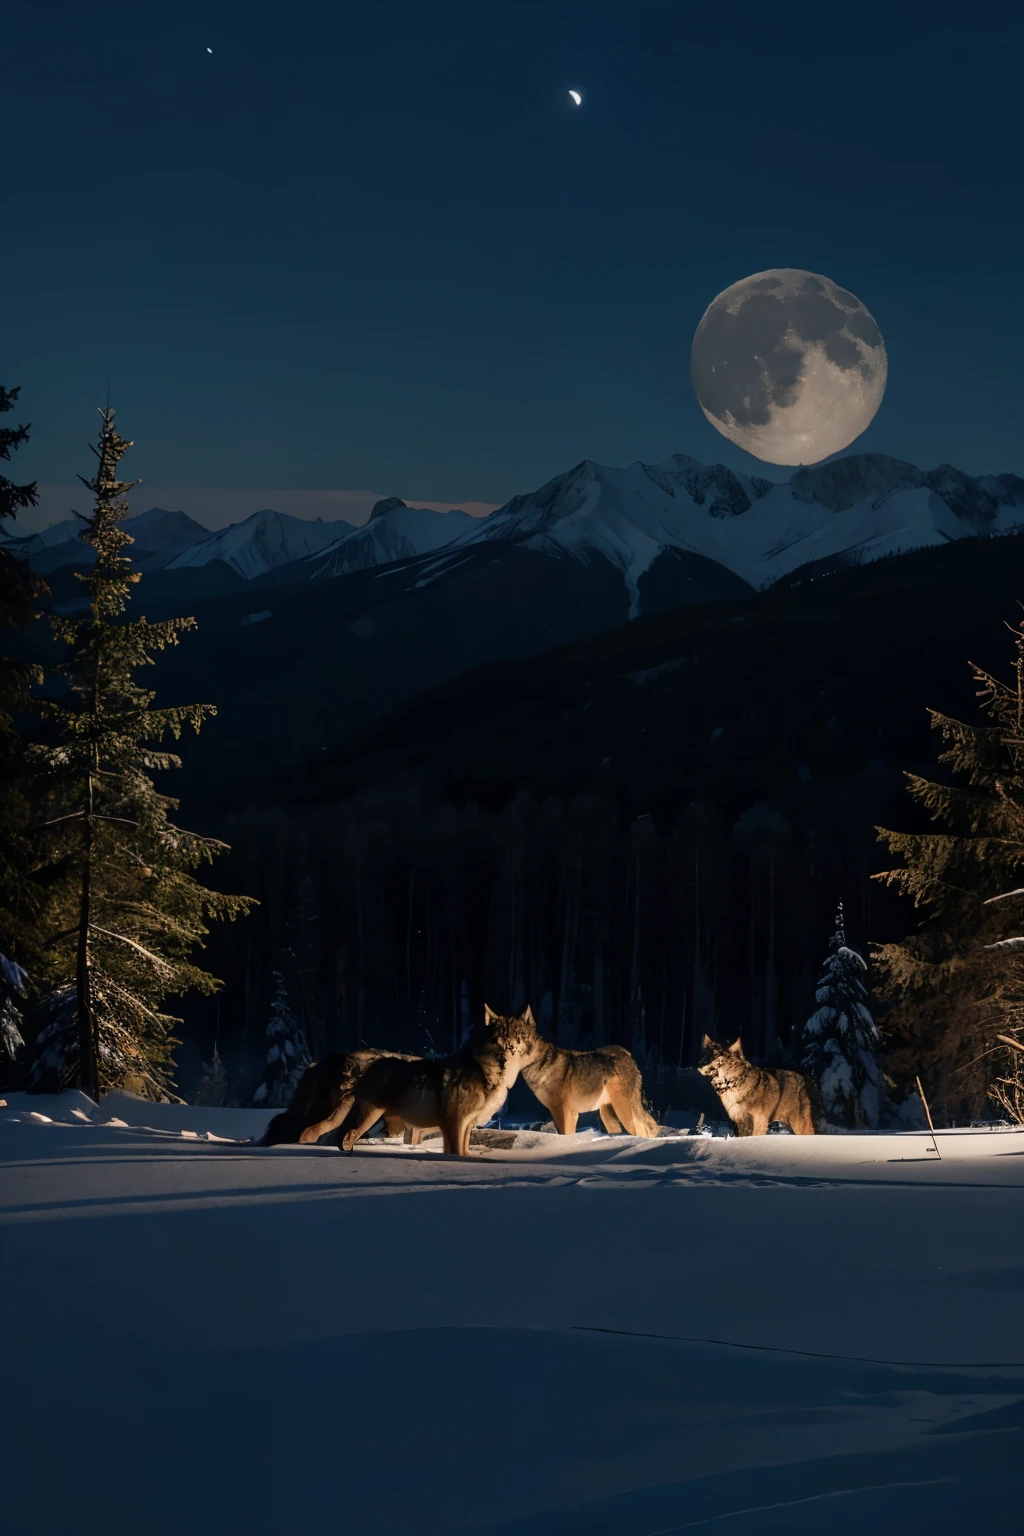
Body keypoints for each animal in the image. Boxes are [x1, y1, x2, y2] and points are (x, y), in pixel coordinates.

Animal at [337, 1007, 543, 1155]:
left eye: (519, 1037)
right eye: (499, 1038)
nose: (509, 1050)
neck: (485, 1071)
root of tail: (369, 1064)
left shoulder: (466, 1125)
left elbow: (463, 1153)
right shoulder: (455, 1123)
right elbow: (456, 1153)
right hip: (368, 1118)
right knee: (346, 1137)